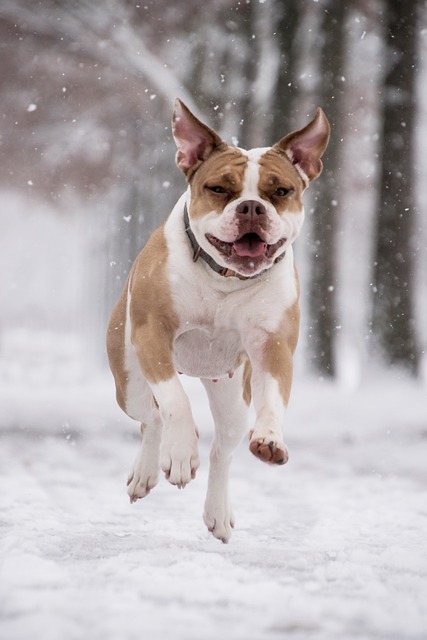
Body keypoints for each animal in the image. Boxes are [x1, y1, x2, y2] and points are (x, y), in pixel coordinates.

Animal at [107, 100, 332, 540]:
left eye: (281, 191)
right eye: (219, 189)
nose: (251, 207)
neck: (224, 277)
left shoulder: (273, 345)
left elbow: (273, 398)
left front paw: (270, 439)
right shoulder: (152, 333)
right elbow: (174, 399)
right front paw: (179, 453)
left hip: (232, 398)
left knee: (221, 451)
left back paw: (218, 511)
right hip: (129, 382)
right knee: (151, 416)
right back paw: (151, 468)